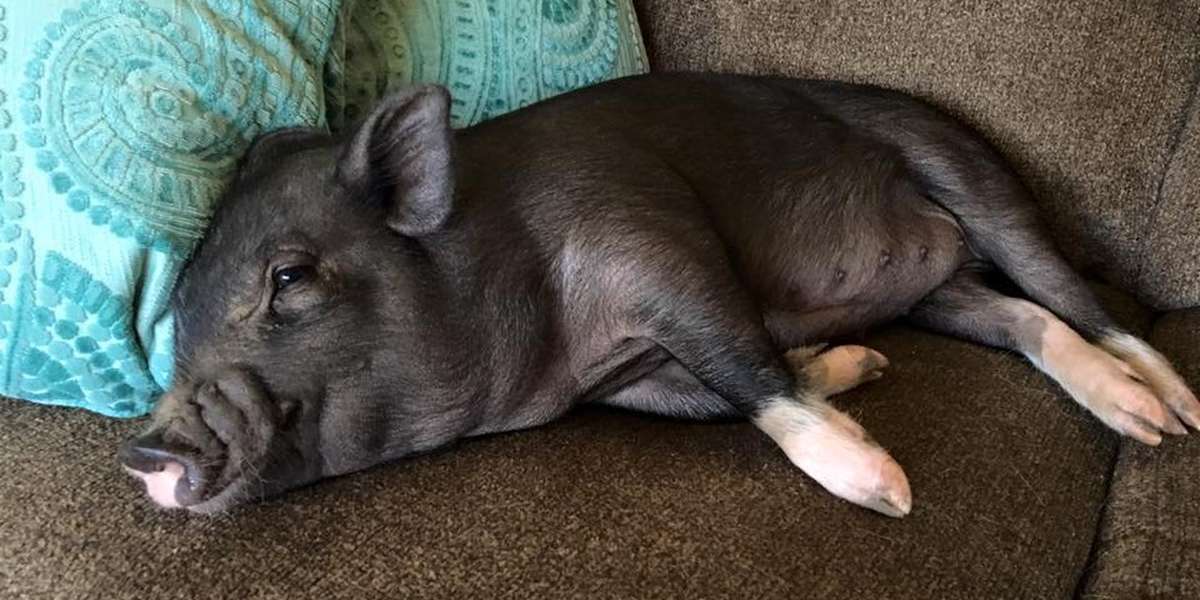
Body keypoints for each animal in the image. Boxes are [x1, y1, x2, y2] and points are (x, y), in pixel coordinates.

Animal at [119, 73, 1200, 517]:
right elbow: (724, 389)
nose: (144, 450)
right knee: (1018, 315)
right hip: (937, 290)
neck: (544, 367)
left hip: (968, 165)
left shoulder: (652, 241)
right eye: (176, 323)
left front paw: (888, 492)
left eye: (289, 278)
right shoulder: (628, 379)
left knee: (1075, 297)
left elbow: (745, 364)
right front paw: (859, 368)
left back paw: (1171, 415)